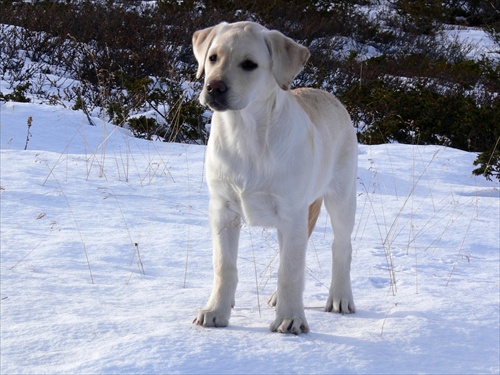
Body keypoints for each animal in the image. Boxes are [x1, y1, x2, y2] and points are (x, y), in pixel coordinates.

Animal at [189, 22, 358, 336]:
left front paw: (290, 319)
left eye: (249, 64)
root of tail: (329, 95)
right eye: (213, 58)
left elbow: (289, 271)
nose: (213, 87)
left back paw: (340, 298)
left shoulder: (291, 212)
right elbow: (224, 266)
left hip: (341, 197)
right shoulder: (222, 210)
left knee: (341, 247)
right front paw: (216, 311)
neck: (245, 133)